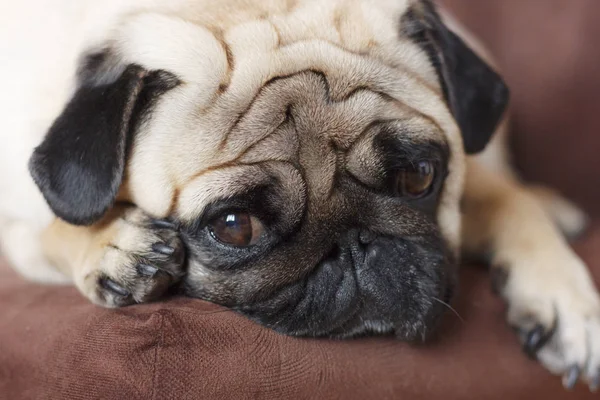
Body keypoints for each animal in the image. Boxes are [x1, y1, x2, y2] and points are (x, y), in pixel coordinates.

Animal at [1, 0, 600, 390]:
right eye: (234, 226)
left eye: (418, 177)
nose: (356, 243)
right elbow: (54, 226)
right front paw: (111, 244)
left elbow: (509, 201)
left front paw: (569, 303)